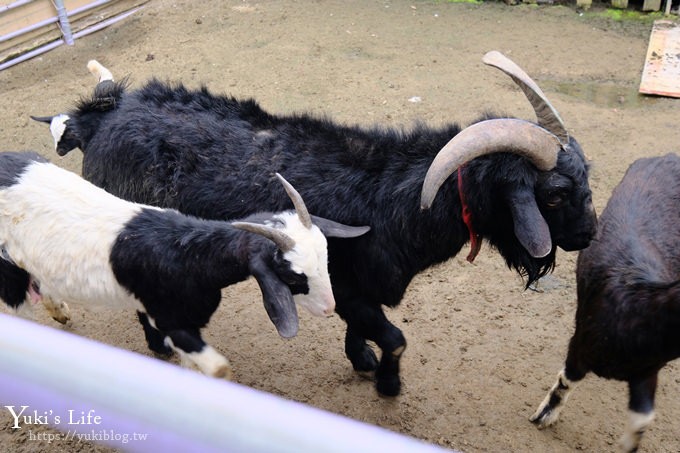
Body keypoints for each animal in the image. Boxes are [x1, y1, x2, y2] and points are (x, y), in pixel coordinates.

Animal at [0, 152, 370, 378]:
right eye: (293, 278)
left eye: (326, 257)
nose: (329, 307)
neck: (187, 254)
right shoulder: (171, 319)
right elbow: (218, 369)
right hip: (8, 272)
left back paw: (59, 311)